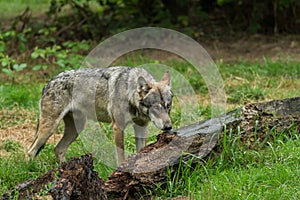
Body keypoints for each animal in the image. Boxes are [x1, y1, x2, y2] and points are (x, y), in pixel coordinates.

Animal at [28, 66, 173, 165]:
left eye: (168, 106)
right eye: (156, 107)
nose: (168, 127)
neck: (130, 94)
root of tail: (49, 82)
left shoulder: (141, 127)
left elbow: (141, 151)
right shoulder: (118, 127)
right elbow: (121, 155)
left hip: (75, 130)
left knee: (58, 149)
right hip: (50, 129)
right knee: (31, 151)